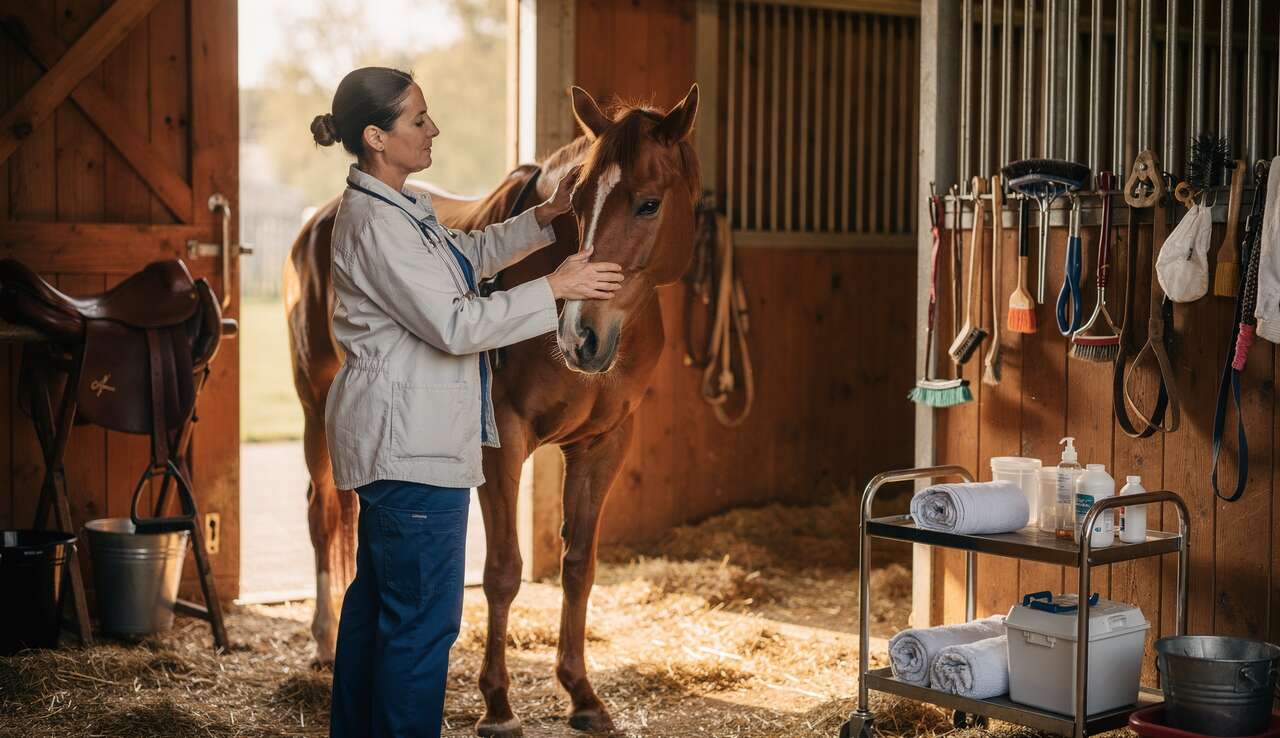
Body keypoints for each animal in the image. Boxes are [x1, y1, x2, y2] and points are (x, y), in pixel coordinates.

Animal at [284, 83, 701, 735]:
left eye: (649, 204)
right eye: (581, 201)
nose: (580, 336)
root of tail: (319, 219)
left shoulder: (604, 443)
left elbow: (578, 566)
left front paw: (582, 694)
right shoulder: (500, 441)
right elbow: (503, 572)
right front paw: (498, 705)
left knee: (350, 515)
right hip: (314, 407)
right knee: (322, 511)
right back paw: (324, 641)